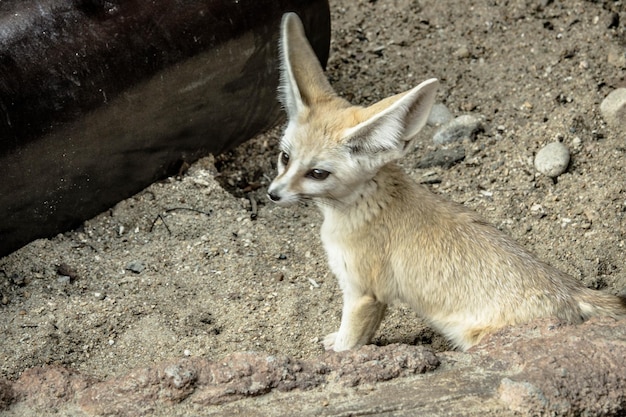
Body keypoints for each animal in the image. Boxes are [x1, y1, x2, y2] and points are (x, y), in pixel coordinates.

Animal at [266, 13, 620, 350]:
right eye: (284, 157)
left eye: (317, 173)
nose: (272, 194)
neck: (366, 204)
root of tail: (574, 291)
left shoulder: (365, 294)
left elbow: (348, 345)